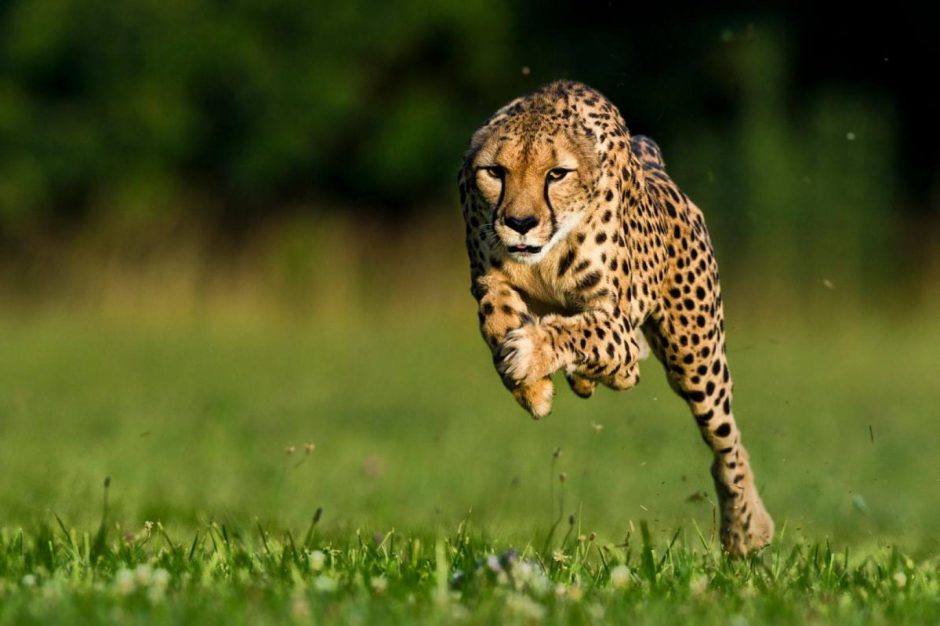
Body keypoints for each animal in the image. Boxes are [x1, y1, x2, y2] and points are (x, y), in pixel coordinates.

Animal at [458, 79, 776, 556]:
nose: (520, 222)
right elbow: (495, 316)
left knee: (725, 440)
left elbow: (582, 332)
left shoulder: (617, 324)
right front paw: (532, 389)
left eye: (557, 174)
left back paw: (745, 529)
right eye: (495, 172)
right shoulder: (488, 278)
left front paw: (531, 354)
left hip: (695, 358)